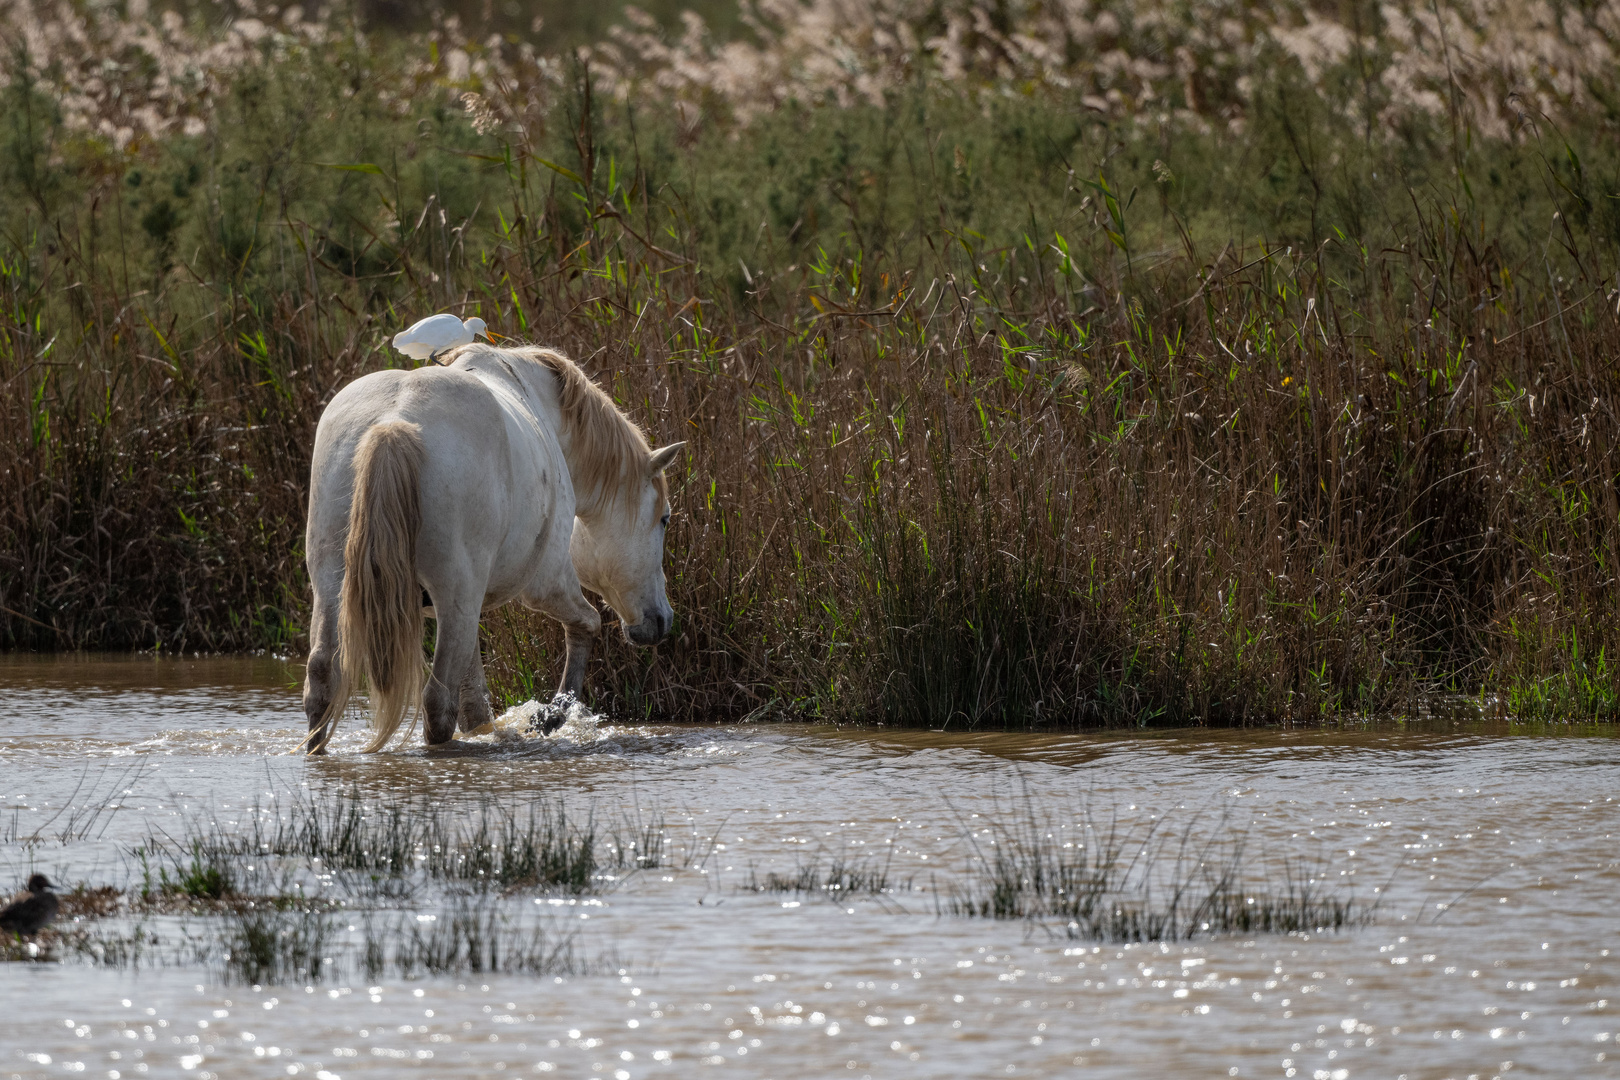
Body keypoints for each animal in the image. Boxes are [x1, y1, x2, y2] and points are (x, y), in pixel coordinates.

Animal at [304, 344, 683, 751]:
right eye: (665, 518)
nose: (661, 620)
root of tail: (393, 424)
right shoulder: (546, 582)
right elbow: (587, 624)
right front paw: (550, 717)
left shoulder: (465, 610)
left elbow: (474, 703)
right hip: (458, 596)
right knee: (437, 703)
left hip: (333, 587)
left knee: (322, 680)